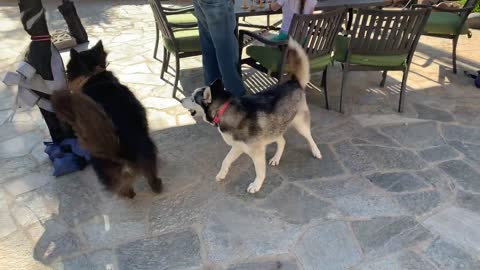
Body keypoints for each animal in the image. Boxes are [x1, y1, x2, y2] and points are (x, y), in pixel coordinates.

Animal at [51, 41, 162, 199]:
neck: (92, 74)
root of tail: (118, 150)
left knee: (121, 185)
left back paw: (128, 194)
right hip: (145, 148)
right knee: (149, 174)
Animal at [183, 39, 322, 193]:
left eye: (193, 99)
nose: (181, 100)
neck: (224, 109)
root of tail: (294, 82)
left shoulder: (257, 151)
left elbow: (260, 171)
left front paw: (256, 185)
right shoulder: (238, 146)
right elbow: (226, 160)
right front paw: (222, 174)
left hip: (300, 124)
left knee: (309, 137)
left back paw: (316, 151)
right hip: (274, 127)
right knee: (282, 141)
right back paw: (276, 158)